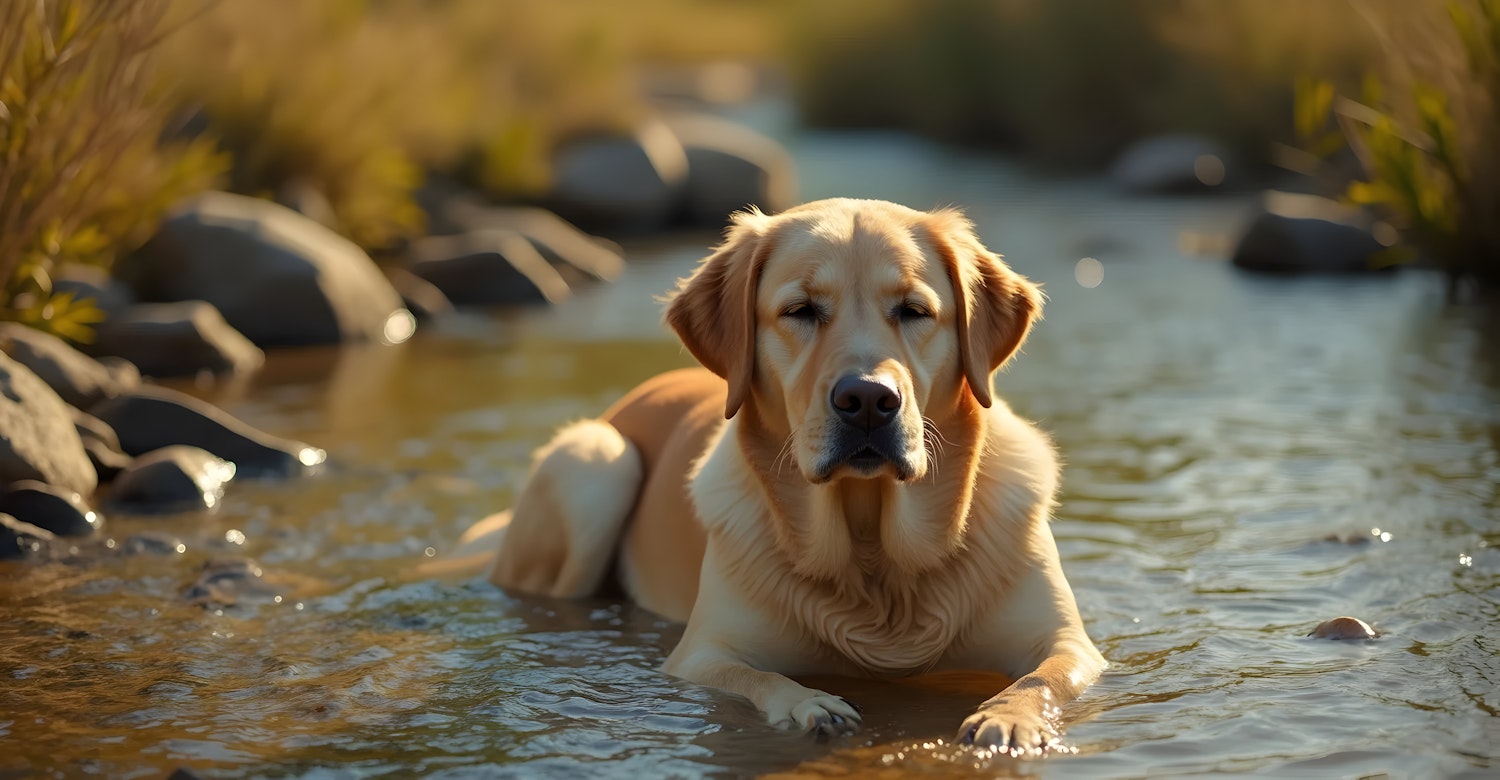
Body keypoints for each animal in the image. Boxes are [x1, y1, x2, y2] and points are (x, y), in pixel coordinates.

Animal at [462, 198, 1110, 753]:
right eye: (800, 311)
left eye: (914, 311)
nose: (868, 400)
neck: (873, 555)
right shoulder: (701, 654)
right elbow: (762, 680)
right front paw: (810, 706)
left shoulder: (1071, 644)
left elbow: (1041, 678)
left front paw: (1008, 719)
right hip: (598, 462)